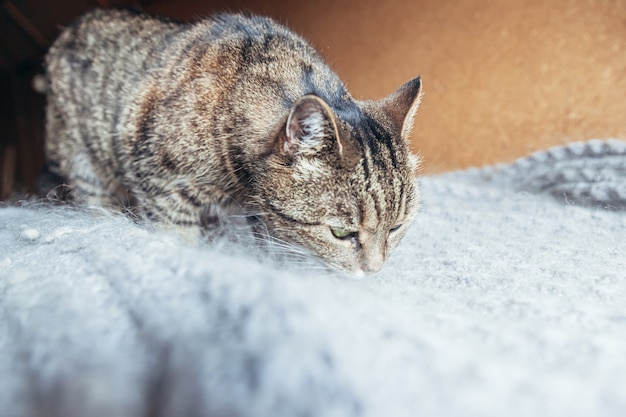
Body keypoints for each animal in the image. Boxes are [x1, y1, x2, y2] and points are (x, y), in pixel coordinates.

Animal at [45, 8, 424, 274]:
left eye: (396, 228)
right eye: (341, 234)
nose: (374, 271)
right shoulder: (161, 185)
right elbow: (176, 235)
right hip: (85, 166)